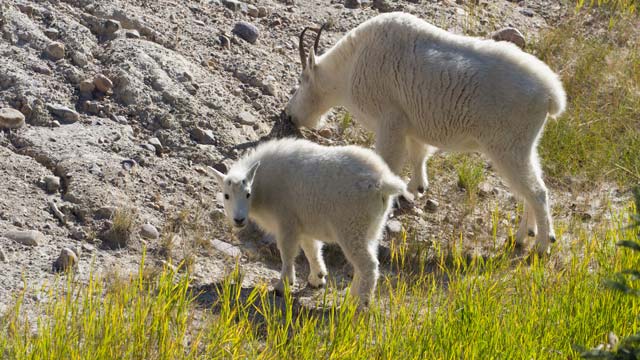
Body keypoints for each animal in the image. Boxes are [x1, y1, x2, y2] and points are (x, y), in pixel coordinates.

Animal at [209, 139, 404, 306]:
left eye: (248, 194)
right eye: (226, 195)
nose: (239, 220)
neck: (263, 185)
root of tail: (383, 183)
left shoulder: (287, 221)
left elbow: (287, 252)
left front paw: (283, 286)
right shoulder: (302, 224)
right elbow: (312, 249)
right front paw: (317, 279)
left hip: (352, 226)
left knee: (368, 264)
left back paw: (359, 304)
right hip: (372, 227)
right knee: (364, 263)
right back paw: (352, 296)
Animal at [284, 12, 564, 255]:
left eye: (301, 80)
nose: (289, 115)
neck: (351, 65)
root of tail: (551, 94)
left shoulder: (390, 121)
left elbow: (389, 161)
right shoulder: (411, 126)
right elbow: (419, 155)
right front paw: (415, 189)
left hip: (507, 147)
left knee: (537, 192)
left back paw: (541, 245)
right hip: (525, 145)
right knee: (531, 187)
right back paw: (524, 235)